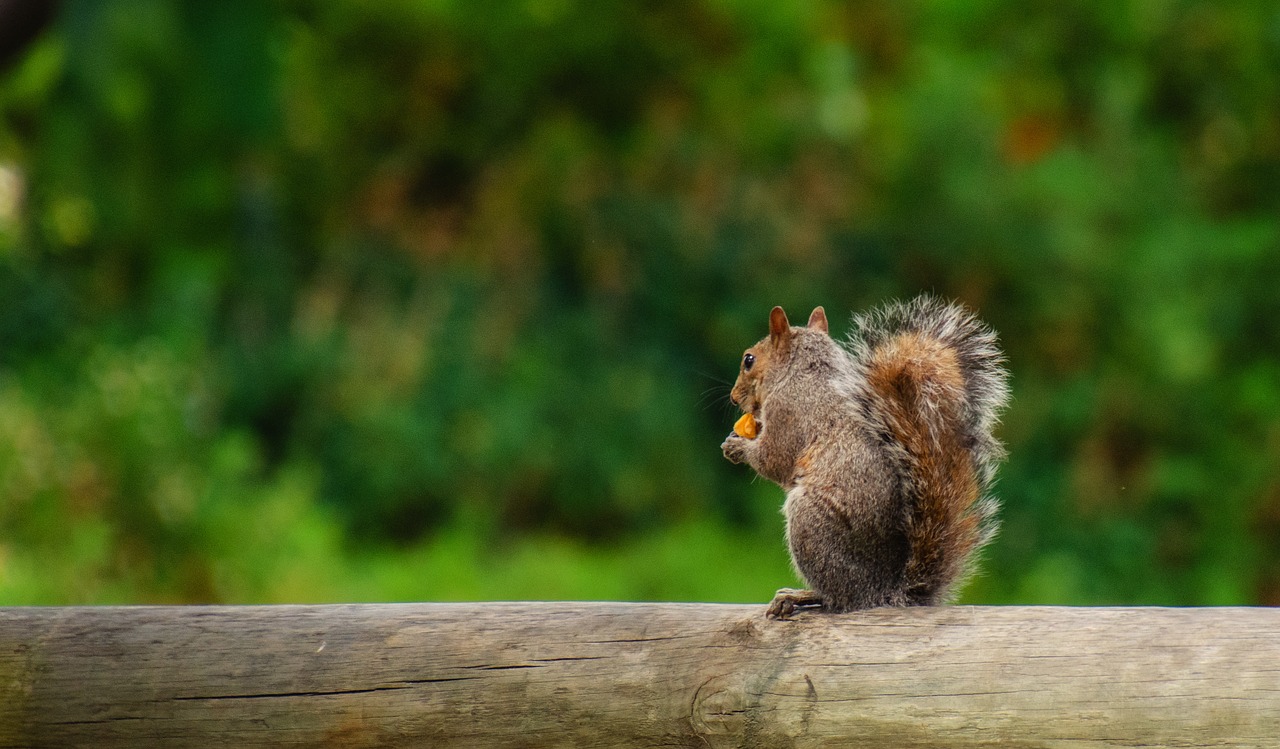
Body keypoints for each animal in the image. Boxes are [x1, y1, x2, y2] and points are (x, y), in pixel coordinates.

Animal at [721, 294, 1008, 617]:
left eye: (749, 360)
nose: (733, 397)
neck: (804, 371)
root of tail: (883, 591)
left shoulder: (789, 412)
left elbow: (774, 459)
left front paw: (737, 447)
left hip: (810, 525)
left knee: (840, 599)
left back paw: (799, 596)